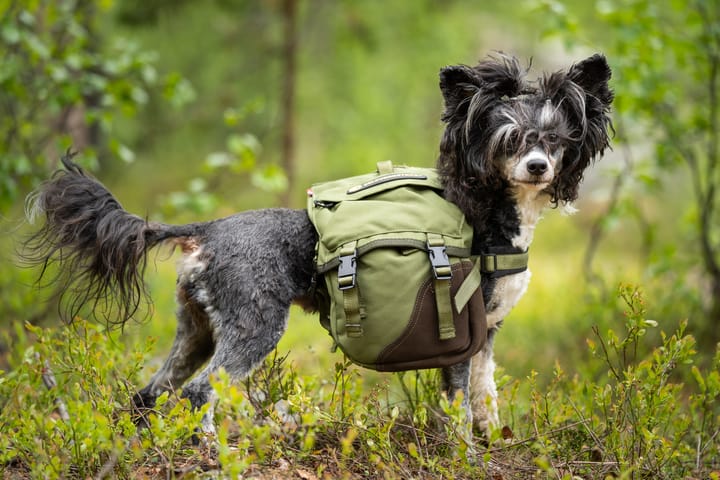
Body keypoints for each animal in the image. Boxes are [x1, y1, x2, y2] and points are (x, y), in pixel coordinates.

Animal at [22, 52, 612, 442]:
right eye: (508, 141)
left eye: (555, 140)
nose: (537, 167)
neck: (492, 216)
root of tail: (208, 231)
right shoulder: (460, 335)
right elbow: (459, 405)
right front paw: (465, 452)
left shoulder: (487, 332)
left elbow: (485, 395)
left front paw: (491, 440)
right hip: (254, 327)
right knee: (201, 393)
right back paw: (212, 450)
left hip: (196, 331)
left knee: (153, 392)